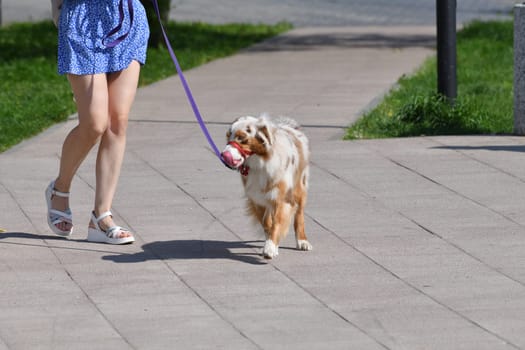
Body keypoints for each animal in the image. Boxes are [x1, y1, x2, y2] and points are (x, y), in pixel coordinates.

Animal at [220, 115, 312, 260]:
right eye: (228, 137)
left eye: (242, 138)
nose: (223, 155)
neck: (260, 164)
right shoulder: (257, 199)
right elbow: (267, 223)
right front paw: (271, 243)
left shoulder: (281, 198)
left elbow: (277, 223)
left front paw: (270, 248)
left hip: (299, 188)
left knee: (299, 214)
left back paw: (302, 241)